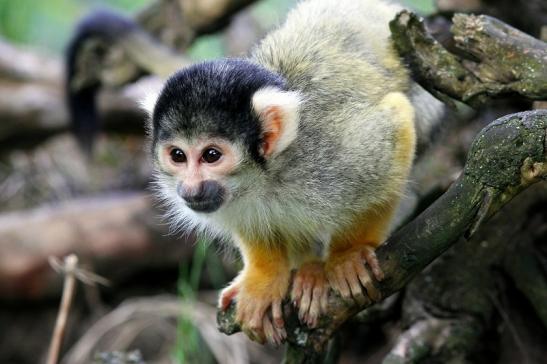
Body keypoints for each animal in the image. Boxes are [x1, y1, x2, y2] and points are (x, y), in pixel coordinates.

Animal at [68, 0, 444, 344]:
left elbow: (396, 123)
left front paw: (348, 254)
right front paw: (264, 278)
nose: (190, 188)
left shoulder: (335, 154)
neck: (269, 174)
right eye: (178, 155)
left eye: (211, 155)